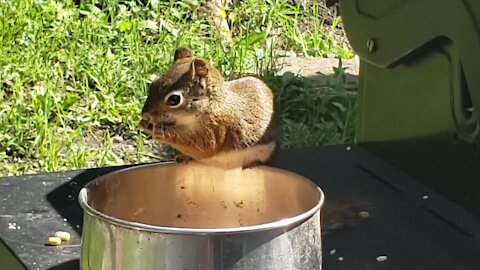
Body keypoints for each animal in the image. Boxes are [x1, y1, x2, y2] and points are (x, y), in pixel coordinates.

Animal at [139, 46, 372, 232]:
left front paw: (155, 129)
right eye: (153, 84)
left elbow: (206, 146)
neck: (212, 105)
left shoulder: (220, 127)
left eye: (174, 99)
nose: (145, 113)